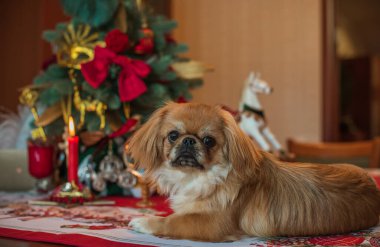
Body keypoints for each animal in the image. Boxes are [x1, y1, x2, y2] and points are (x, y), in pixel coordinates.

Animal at [127, 102, 380, 241]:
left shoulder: (213, 224)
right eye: (173, 135)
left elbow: (172, 221)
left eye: (209, 141)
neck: (198, 177)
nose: (189, 141)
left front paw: (143, 221)